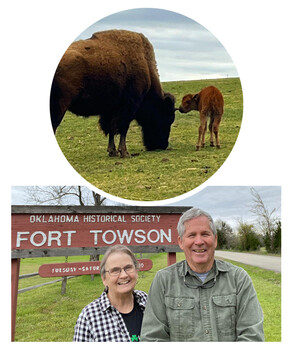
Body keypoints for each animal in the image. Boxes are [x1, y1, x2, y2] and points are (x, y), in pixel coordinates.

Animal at [49, 29, 176, 158]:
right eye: (168, 118)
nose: (162, 145)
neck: (146, 65)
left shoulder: (110, 110)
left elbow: (111, 129)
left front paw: (112, 151)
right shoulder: (128, 108)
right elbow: (122, 128)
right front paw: (124, 153)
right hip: (59, 107)